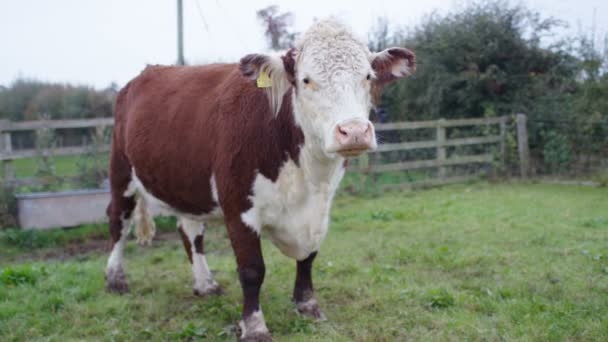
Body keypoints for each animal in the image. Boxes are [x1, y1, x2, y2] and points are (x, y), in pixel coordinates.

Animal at [105, 18, 414, 342]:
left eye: (367, 76)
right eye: (306, 80)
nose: (353, 131)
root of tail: (147, 73)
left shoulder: (321, 208)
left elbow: (309, 257)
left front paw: (308, 306)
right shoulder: (238, 205)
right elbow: (252, 270)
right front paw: (254, 326)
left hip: (186, 183)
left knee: (190, 230)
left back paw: (205, 284)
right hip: (121, 172)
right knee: (118, 220)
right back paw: (115, 279)